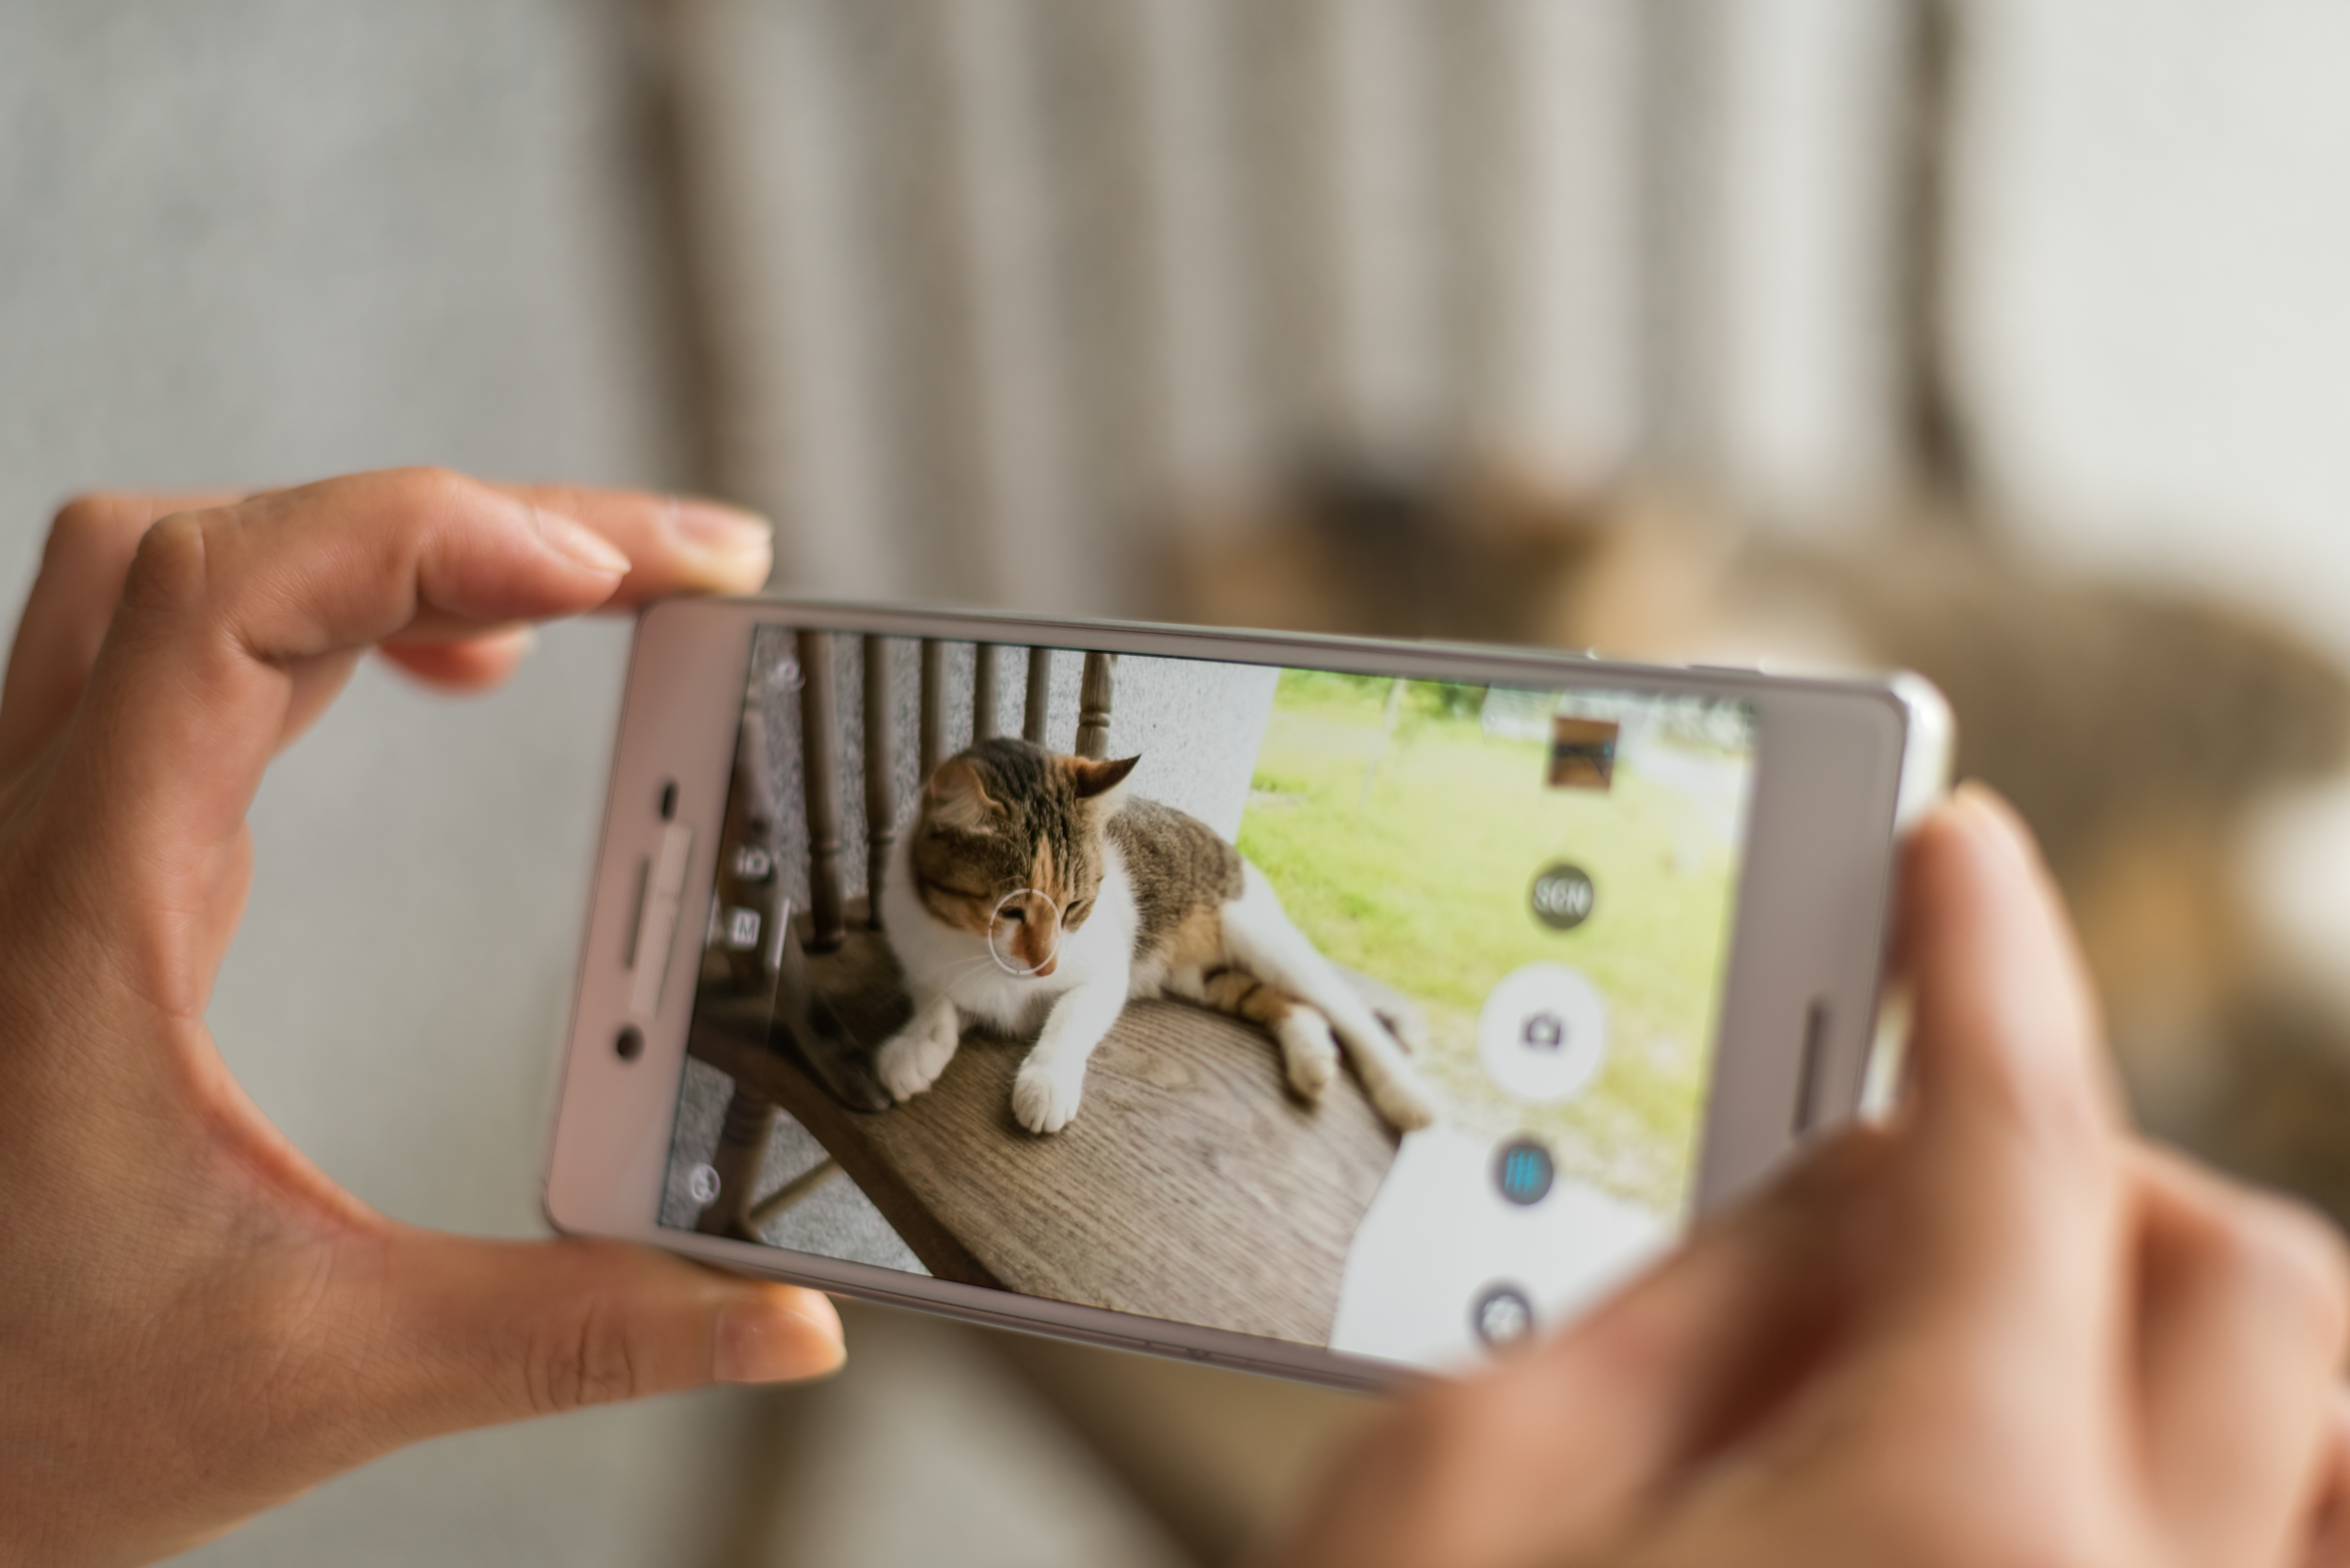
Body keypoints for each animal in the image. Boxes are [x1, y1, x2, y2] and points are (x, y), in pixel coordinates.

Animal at [879, 742, 1438, 1133]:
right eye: (1010, 910)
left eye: (1076, 907)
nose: (1046, 966)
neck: (973, 950)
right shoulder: (918, 949)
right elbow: (936, 999)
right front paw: (915, 1047)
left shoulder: (1107, 971)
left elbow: (1069, 1017)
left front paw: (1046, 1082)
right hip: (1200, 974)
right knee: (1288, 1002)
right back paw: (1314, 1061)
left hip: (1255, 935)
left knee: (1345, 1010)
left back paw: (1407, 1098)